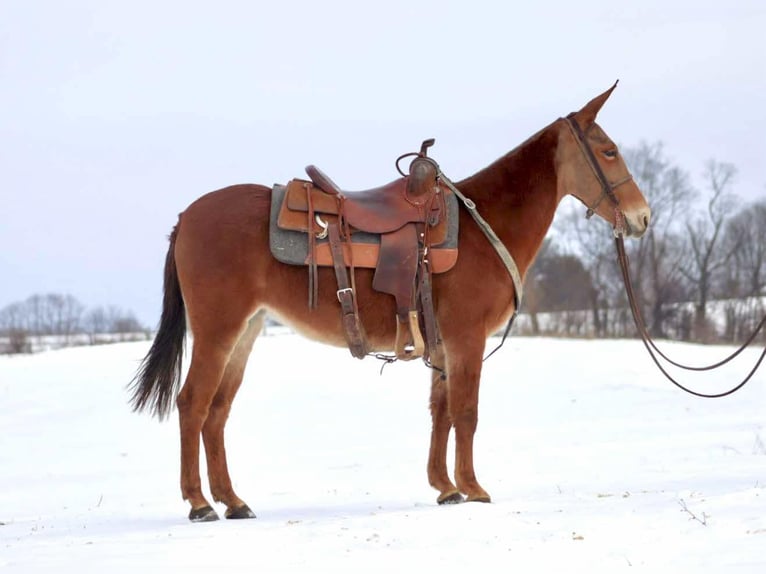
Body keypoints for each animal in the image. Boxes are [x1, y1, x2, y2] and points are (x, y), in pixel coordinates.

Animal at [129, 84, 652, 520]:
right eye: (608, 151)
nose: (643, 217)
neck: (483, 226)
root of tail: (187, 217)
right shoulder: (467, 340)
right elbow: (466, 412)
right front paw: (474, 487)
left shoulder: (443, 345)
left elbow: (441, 411)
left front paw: (446, 487)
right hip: (218, 332)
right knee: (193, 404)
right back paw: (199, 503)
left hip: (246, 332)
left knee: (217, 412)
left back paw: (234, 501)